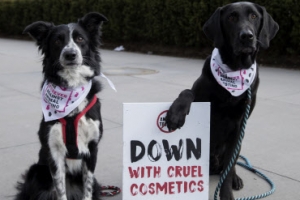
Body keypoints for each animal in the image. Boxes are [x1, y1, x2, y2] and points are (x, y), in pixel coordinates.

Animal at [165, 1, 278, 200]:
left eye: (254, 16)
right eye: (231, 17)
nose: (247, 36)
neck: (234, 69)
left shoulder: (240, 124)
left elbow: (228, 170)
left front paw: (226, 194)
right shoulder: (200, 93)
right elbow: (188, 92)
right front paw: (175, 114)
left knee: (229, 166)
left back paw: (235, 179)